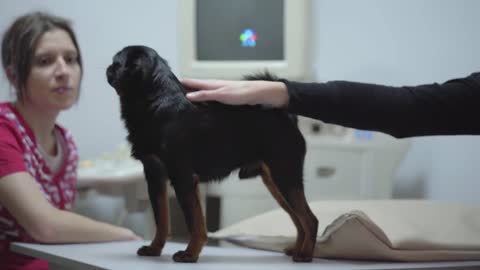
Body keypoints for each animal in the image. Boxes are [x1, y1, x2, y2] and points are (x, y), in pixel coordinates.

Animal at [105, 45, 318, 262]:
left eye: (116, 63)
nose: (108, 68)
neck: (155, 102)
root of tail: (287, 116)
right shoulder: (155, 176)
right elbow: (162, 219)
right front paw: (155, 248)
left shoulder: (183, 178)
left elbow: (195, 222)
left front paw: (190, 253)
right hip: (276, 182)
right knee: (297, 218)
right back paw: (296, 249)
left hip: (285, 176)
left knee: (309, 219)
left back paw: (305, 254)